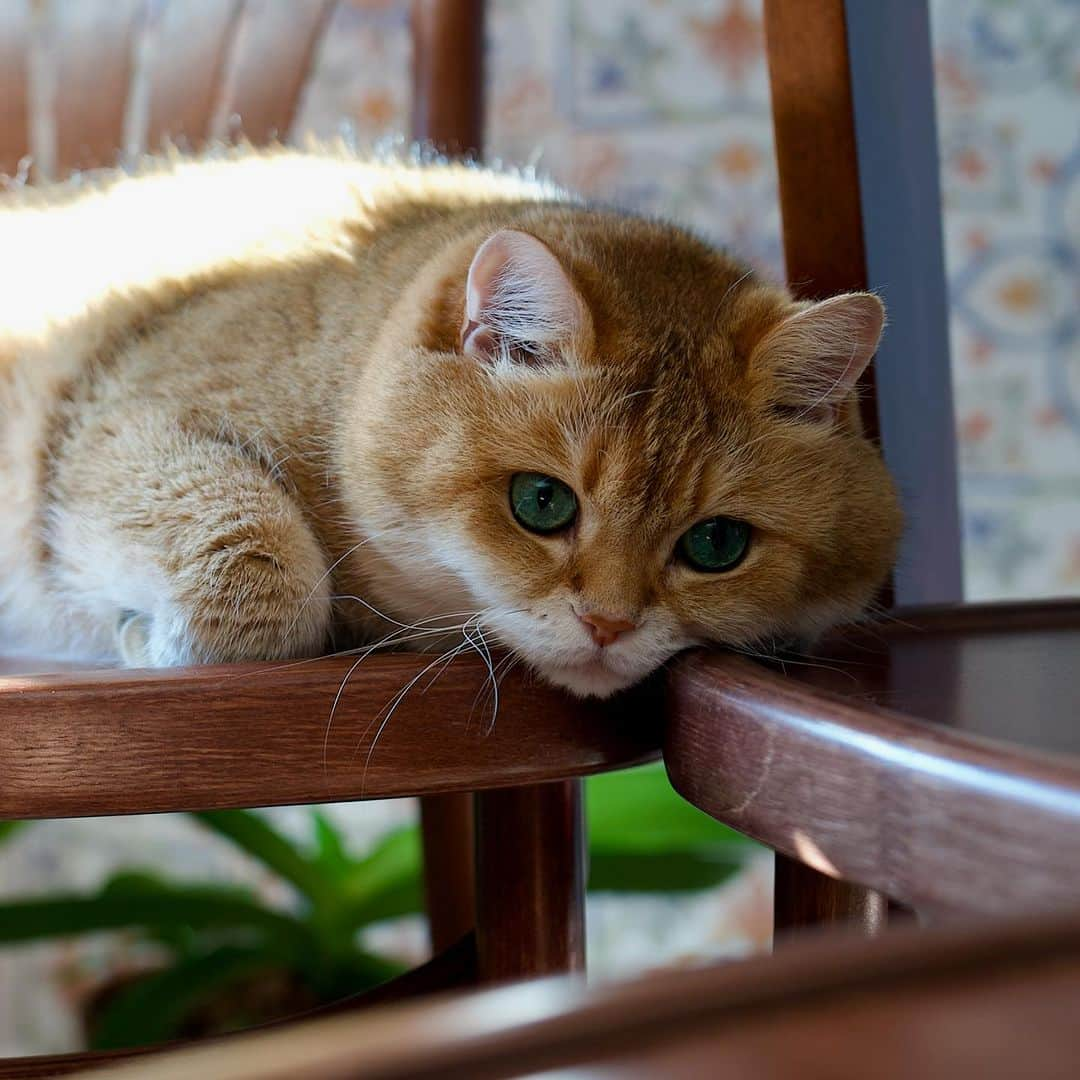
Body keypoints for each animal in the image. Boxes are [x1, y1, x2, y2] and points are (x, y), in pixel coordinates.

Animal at [0, 145, 898, 699]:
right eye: (542, 503)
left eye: (716, 545)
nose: (608, 626)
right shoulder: (109, 431)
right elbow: (268, 570)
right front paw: (140, 634)